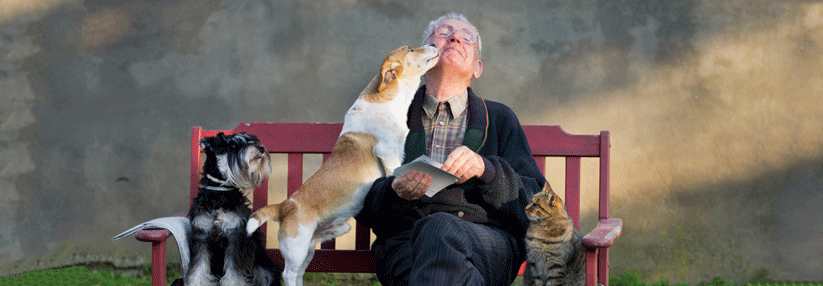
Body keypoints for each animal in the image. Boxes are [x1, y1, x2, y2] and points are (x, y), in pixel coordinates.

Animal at [186, 133, 282, 284]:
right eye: (232, 145)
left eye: (251, 140)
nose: (261, 148)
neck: (219, 194)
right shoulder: (201, 236)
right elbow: (198, 270)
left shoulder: (236, 237)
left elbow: (234, 273)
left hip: (264, 271)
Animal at [243, 44, 438, 286]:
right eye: (410, 49)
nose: (434, 45)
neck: (388, 100)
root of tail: (283, 206)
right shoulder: (389, 154)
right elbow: (394, 174)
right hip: (296, 249)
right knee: (289, 274)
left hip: (310, 249)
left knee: (298, 275)